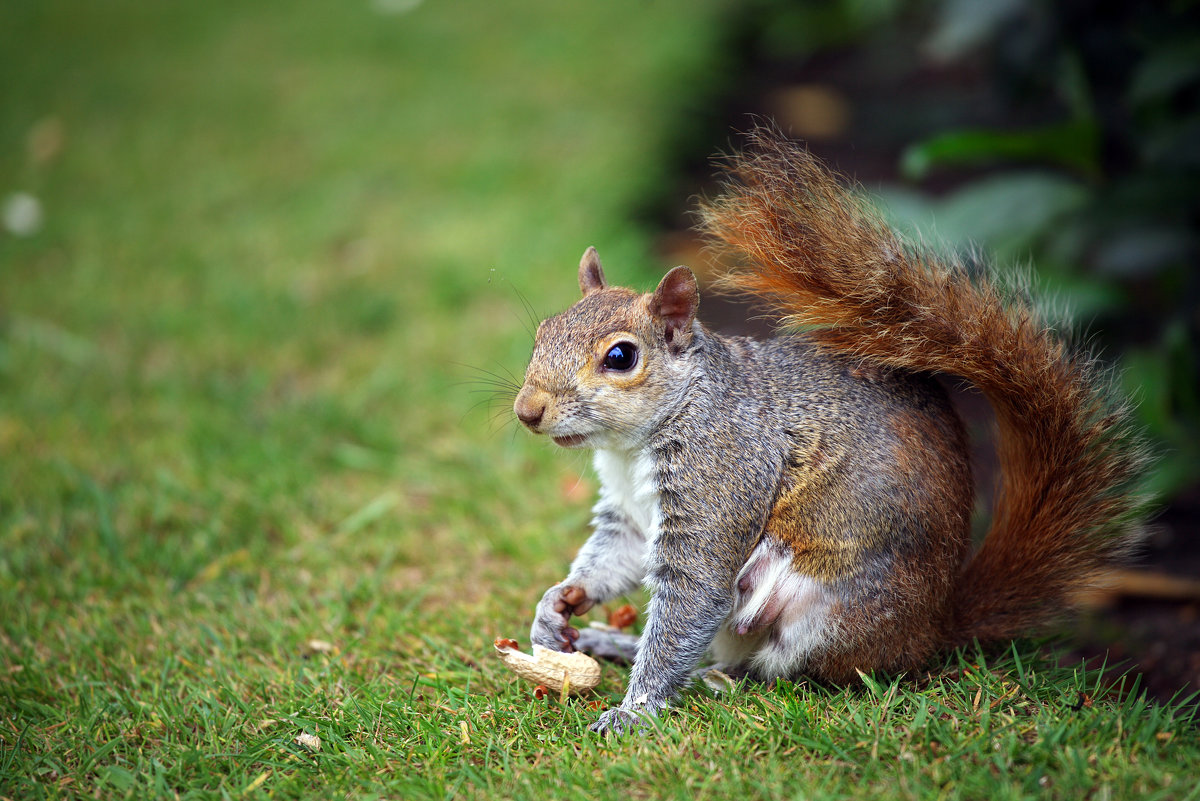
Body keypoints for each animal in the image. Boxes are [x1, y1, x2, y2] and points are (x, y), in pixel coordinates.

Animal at [511, 125, 1147, 733]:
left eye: (621, 357)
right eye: (543, 331)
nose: (527, 410)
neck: (637, 443)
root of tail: (931, 631)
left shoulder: (722, 475)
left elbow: (691, 597)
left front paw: (635, 710)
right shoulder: (628, 513)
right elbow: (613, 557)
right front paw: (556, 606)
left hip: (827, 616)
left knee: (787, 671)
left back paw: (712, 677)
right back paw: (609, 641)